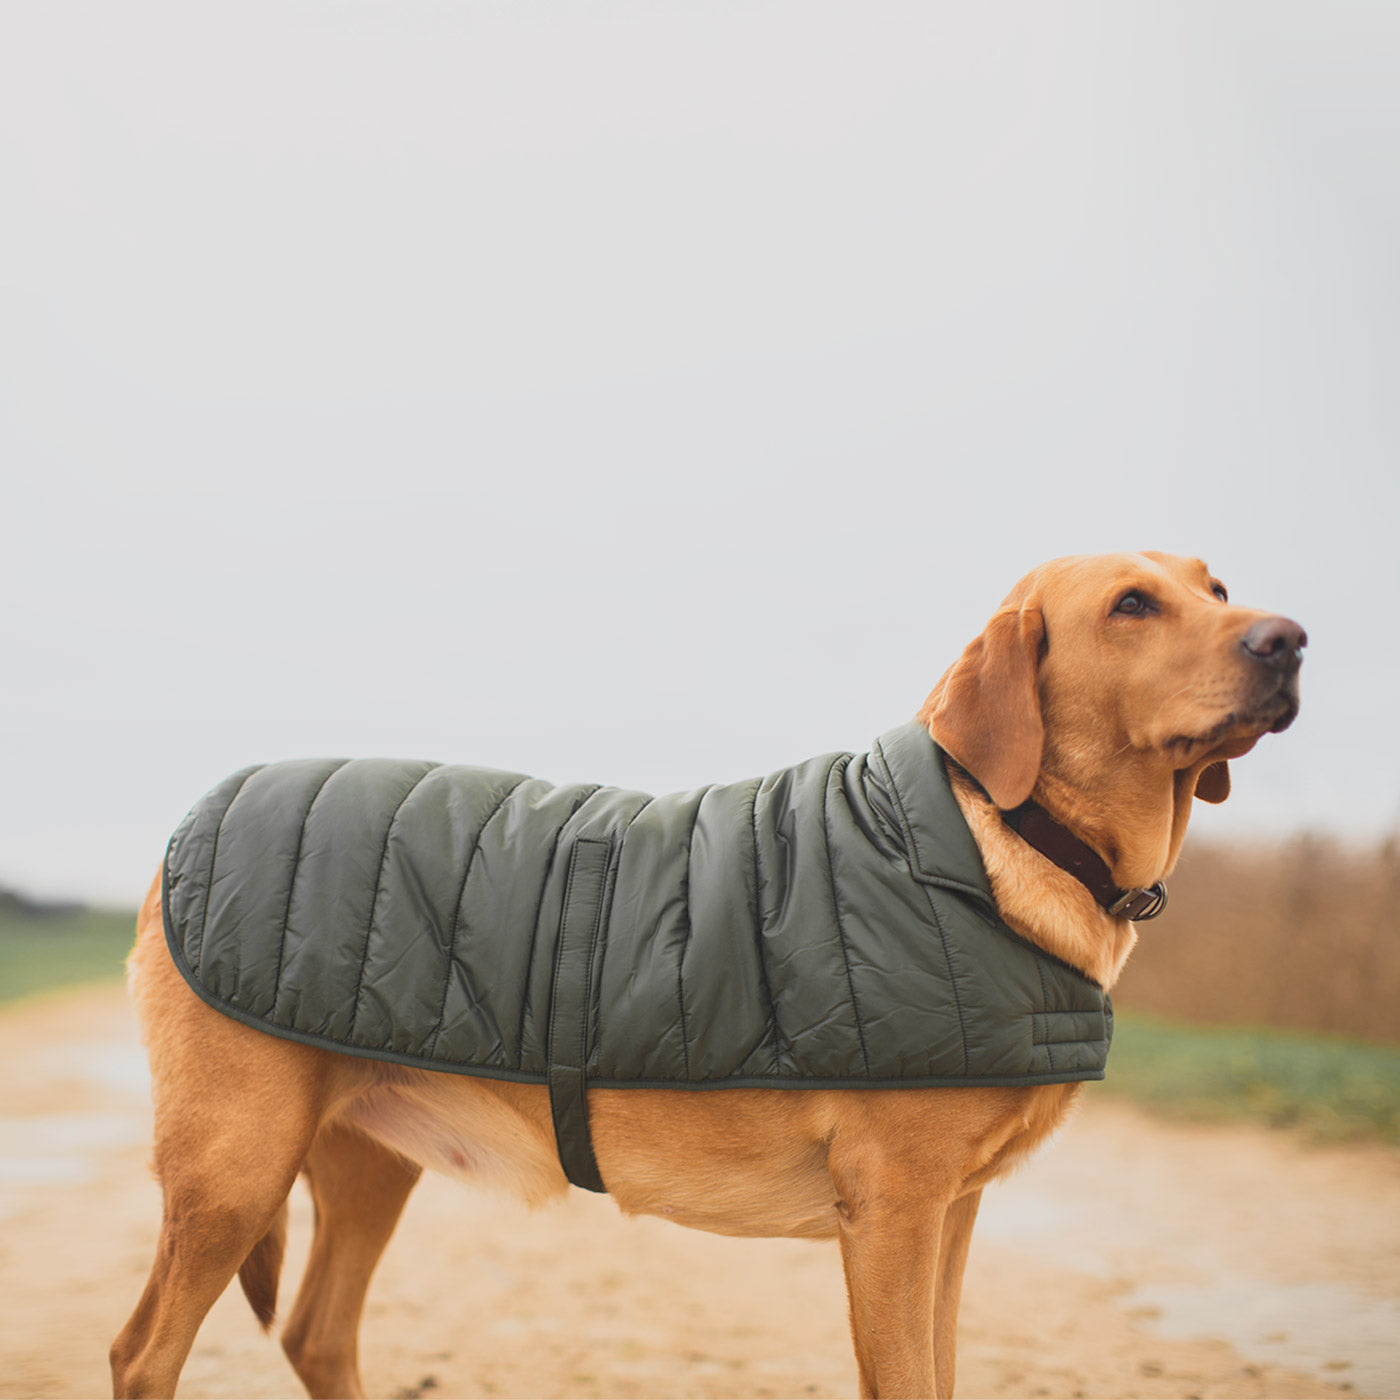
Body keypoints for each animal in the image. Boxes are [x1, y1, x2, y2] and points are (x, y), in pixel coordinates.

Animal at [114, 551, 1304, 1394]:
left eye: (1214, 587)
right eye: (1131, 605)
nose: (1289, 638)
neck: (996, 829)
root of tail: (182, 832)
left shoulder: (950, 1215)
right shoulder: (894, 1211)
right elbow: (907, 1379)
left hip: (366, 1156)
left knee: (317, 1333)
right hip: (233, 1164)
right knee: (144, 1350)